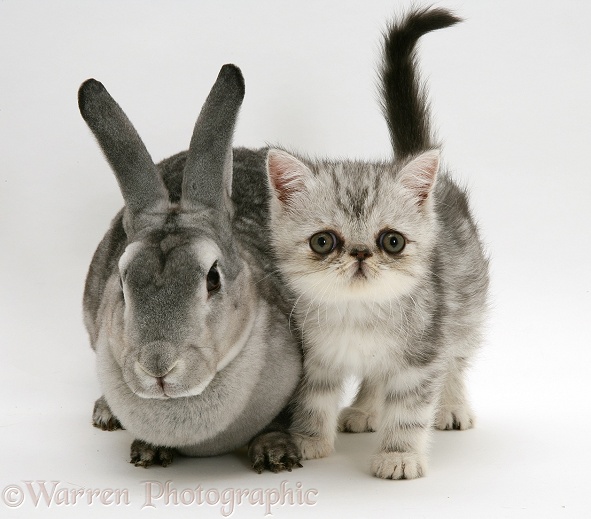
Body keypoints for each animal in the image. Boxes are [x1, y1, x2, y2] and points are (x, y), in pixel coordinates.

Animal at [264, 6, 490, 482]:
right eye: (323, 242)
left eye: (392, 241)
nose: (361, 254)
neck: (359, 314)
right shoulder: (315, 357)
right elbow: (314, 399)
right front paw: (309, 440)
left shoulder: (422, 355)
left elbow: (408, 409)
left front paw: (399, 455)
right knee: (373, 376)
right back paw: (364, 409)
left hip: (466, 307)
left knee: (457, 359)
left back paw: (454, 405)